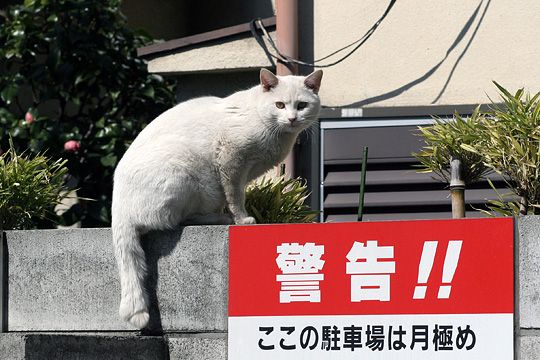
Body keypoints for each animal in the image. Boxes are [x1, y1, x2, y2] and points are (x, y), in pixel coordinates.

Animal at [109, 68, 320, 330]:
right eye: (279, 105)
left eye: (302, 106)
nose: (292, 119)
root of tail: (118, 210)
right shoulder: (231, 160)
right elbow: (235, 195)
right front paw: (241, 219)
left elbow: (231, 196)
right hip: (183, 169)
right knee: (175, 220)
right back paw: (218, 219)